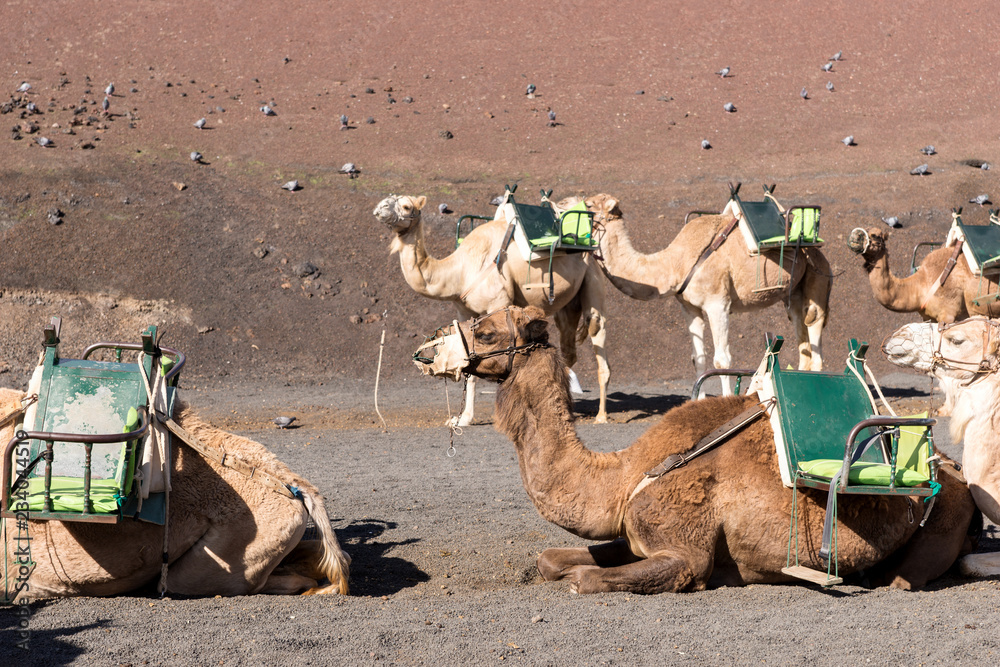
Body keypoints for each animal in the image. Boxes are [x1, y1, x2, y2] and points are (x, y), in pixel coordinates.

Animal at [374, 194, 609, 424]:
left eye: (406, 206)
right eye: (389, 198)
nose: (379, 208)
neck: (459, 271)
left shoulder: (500, 303)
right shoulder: (464, 311)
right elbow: (468, 360)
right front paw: (462, 419)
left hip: (592, 279)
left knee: (597, 329)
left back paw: (601, 415)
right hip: (567, 304)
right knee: (568, 347)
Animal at [414, 306, 980, 593]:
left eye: (487, 330)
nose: (423, 352)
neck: (624, 476)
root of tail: (949, 469)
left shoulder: (685, 551)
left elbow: (586, 578)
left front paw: (581, 577)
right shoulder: (633, 533)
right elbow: (553, 559)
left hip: (941, 520)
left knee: (904, 577)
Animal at [568, 194, 831, 395]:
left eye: (587, 205)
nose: (562, 208)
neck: (674, 263)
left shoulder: (718, 304)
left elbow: (722, 359)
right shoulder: (689, 306)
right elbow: (699, 357)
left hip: (817, 276)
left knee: (814, 324)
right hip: (793, 292)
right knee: (800, 331)